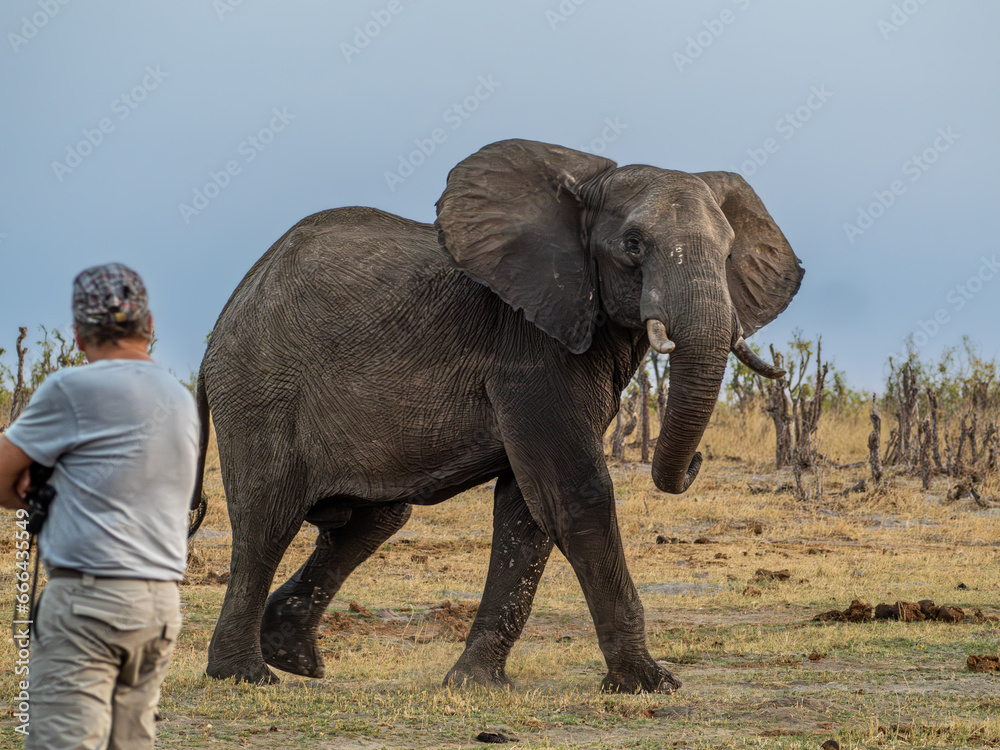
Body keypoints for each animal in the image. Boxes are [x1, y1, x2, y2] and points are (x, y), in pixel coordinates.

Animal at [194, 138, 803, 692]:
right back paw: (246, 676)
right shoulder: (530, 349)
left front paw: (476, 685)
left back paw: (294, 658)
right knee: (268, 520)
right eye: (632, 245)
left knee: (373, 521)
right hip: (259, 387)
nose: (696, 463)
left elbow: (528, 511)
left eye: (729, 252)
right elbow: (576, 495)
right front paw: (650, 684)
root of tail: (223, 318)